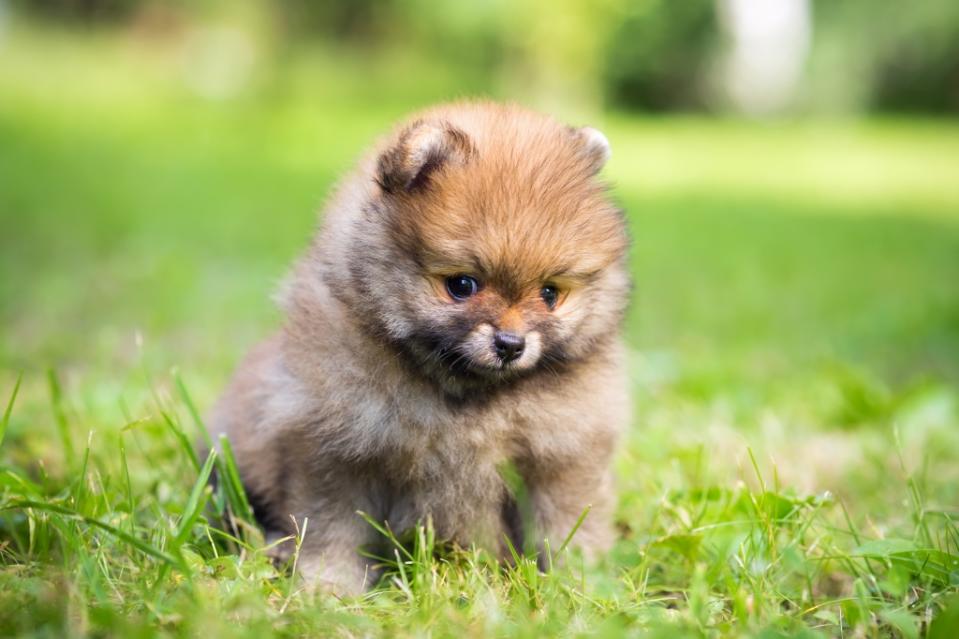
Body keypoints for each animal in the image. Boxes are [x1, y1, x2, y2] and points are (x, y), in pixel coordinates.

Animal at [207, 100, 632, 596]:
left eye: (549, 294)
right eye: (462, 285)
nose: (511, 343)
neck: (466, 400)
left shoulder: (561, 457)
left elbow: (567, 525)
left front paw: (578, 584)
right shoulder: (337, 449)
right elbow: (333, 525)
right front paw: (329, 586)